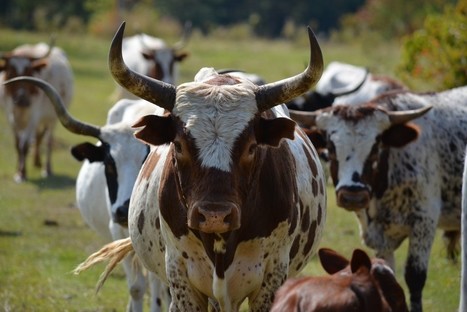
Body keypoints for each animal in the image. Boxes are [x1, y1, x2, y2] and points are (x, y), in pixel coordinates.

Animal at [0, 41, 73, 183]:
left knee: (48, 141)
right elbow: (17, 144)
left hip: (52, 118)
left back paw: (47, 169)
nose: (22, 99)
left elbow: (25, 145)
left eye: (29, 72)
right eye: (11, 73)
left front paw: (22, 174)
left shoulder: (33, 116)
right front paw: (17, 170)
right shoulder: (11, 115)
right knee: (38, 137)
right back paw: (36, 162)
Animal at [288, 86, 467, 312]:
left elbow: (415, 278)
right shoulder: (380, 237)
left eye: (376, 146)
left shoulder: (424, 221)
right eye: (330, 147)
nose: (353, 196)